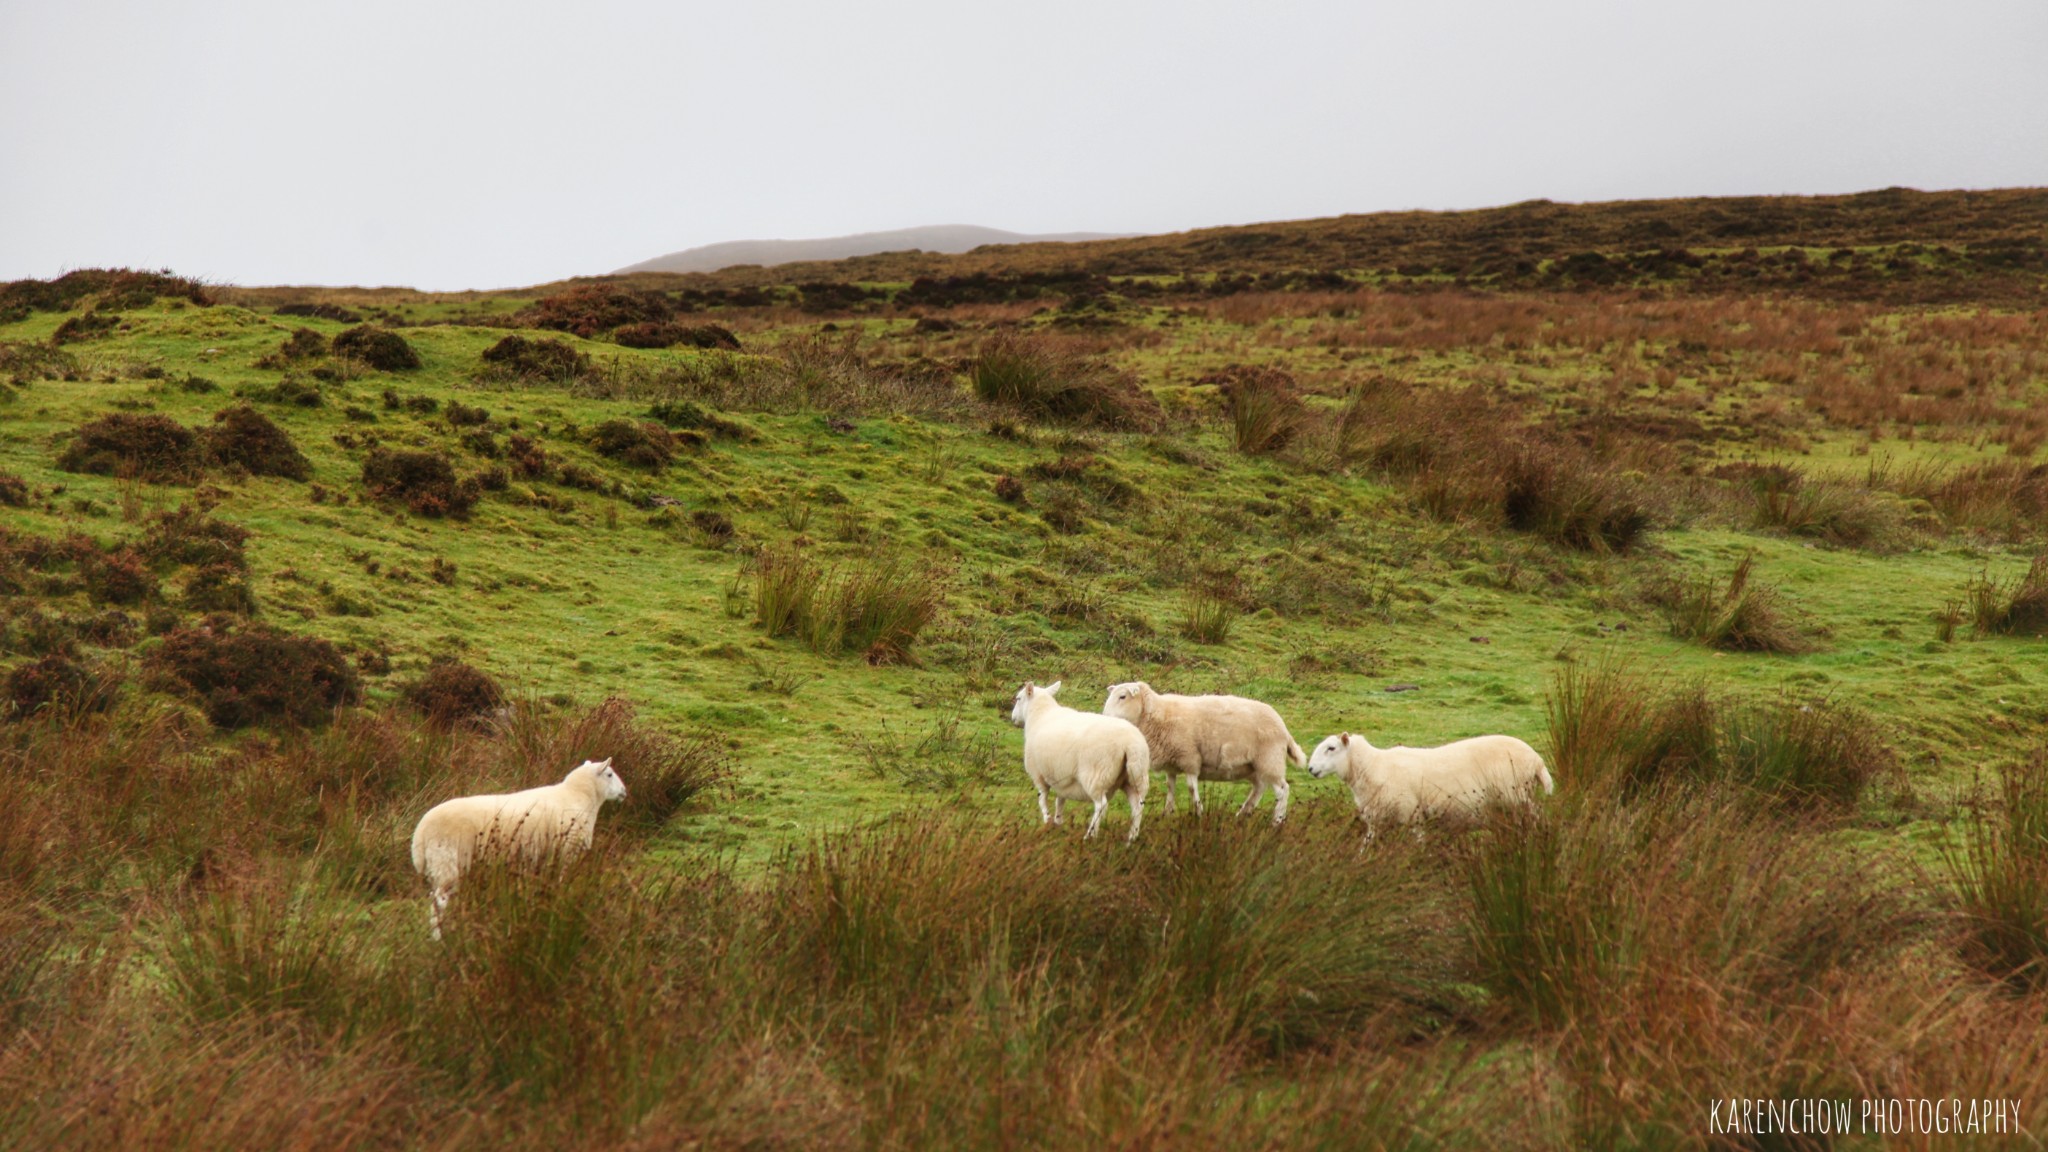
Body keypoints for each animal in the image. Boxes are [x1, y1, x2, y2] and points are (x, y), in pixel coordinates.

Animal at [401, 754, 618, 934]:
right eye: (609, 774)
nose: (623, 791)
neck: (578, 796)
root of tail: (420, 833)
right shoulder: (567, 852)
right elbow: (563, 881)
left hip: (436, 865)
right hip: (448, 861)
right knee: (439, 902)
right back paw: (440, 937)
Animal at [1011, 676, 1155, 840]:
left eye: (1018, 698)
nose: (1013, 718)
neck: (1039, 714)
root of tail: (1129, 743)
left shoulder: (1039, 775)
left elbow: (1042, 800)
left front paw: (1047, 820)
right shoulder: (1061, 777)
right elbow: (1060, 800)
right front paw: (1058, 822)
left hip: (1097, 775)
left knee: (1101, 805)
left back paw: (1090, 836)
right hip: (1136, 776)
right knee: (1137, 806)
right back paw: (1131, 838)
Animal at [1097, 676, 1302, 819]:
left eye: (1122, 696)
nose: (1104, 717)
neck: (1158, 714)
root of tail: (1283, 728)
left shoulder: (1190, 758)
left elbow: (1191, 788)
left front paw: (1199, 812)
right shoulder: (1172, 762)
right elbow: (1170, 787)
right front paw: (1167, 812)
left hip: (1270, 759)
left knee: (1283, 790)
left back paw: (1277, 820)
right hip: (1254, 766)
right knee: (1259, 787)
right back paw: (1242, 814)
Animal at [1310, 729, 1548, 828]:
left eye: (1331, 748)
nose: (1311, 768)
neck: (1374, 766)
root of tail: (1536, 759)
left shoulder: (1410, 811)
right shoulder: (1377, 817)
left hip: (1516, 795)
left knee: (1535, 813)